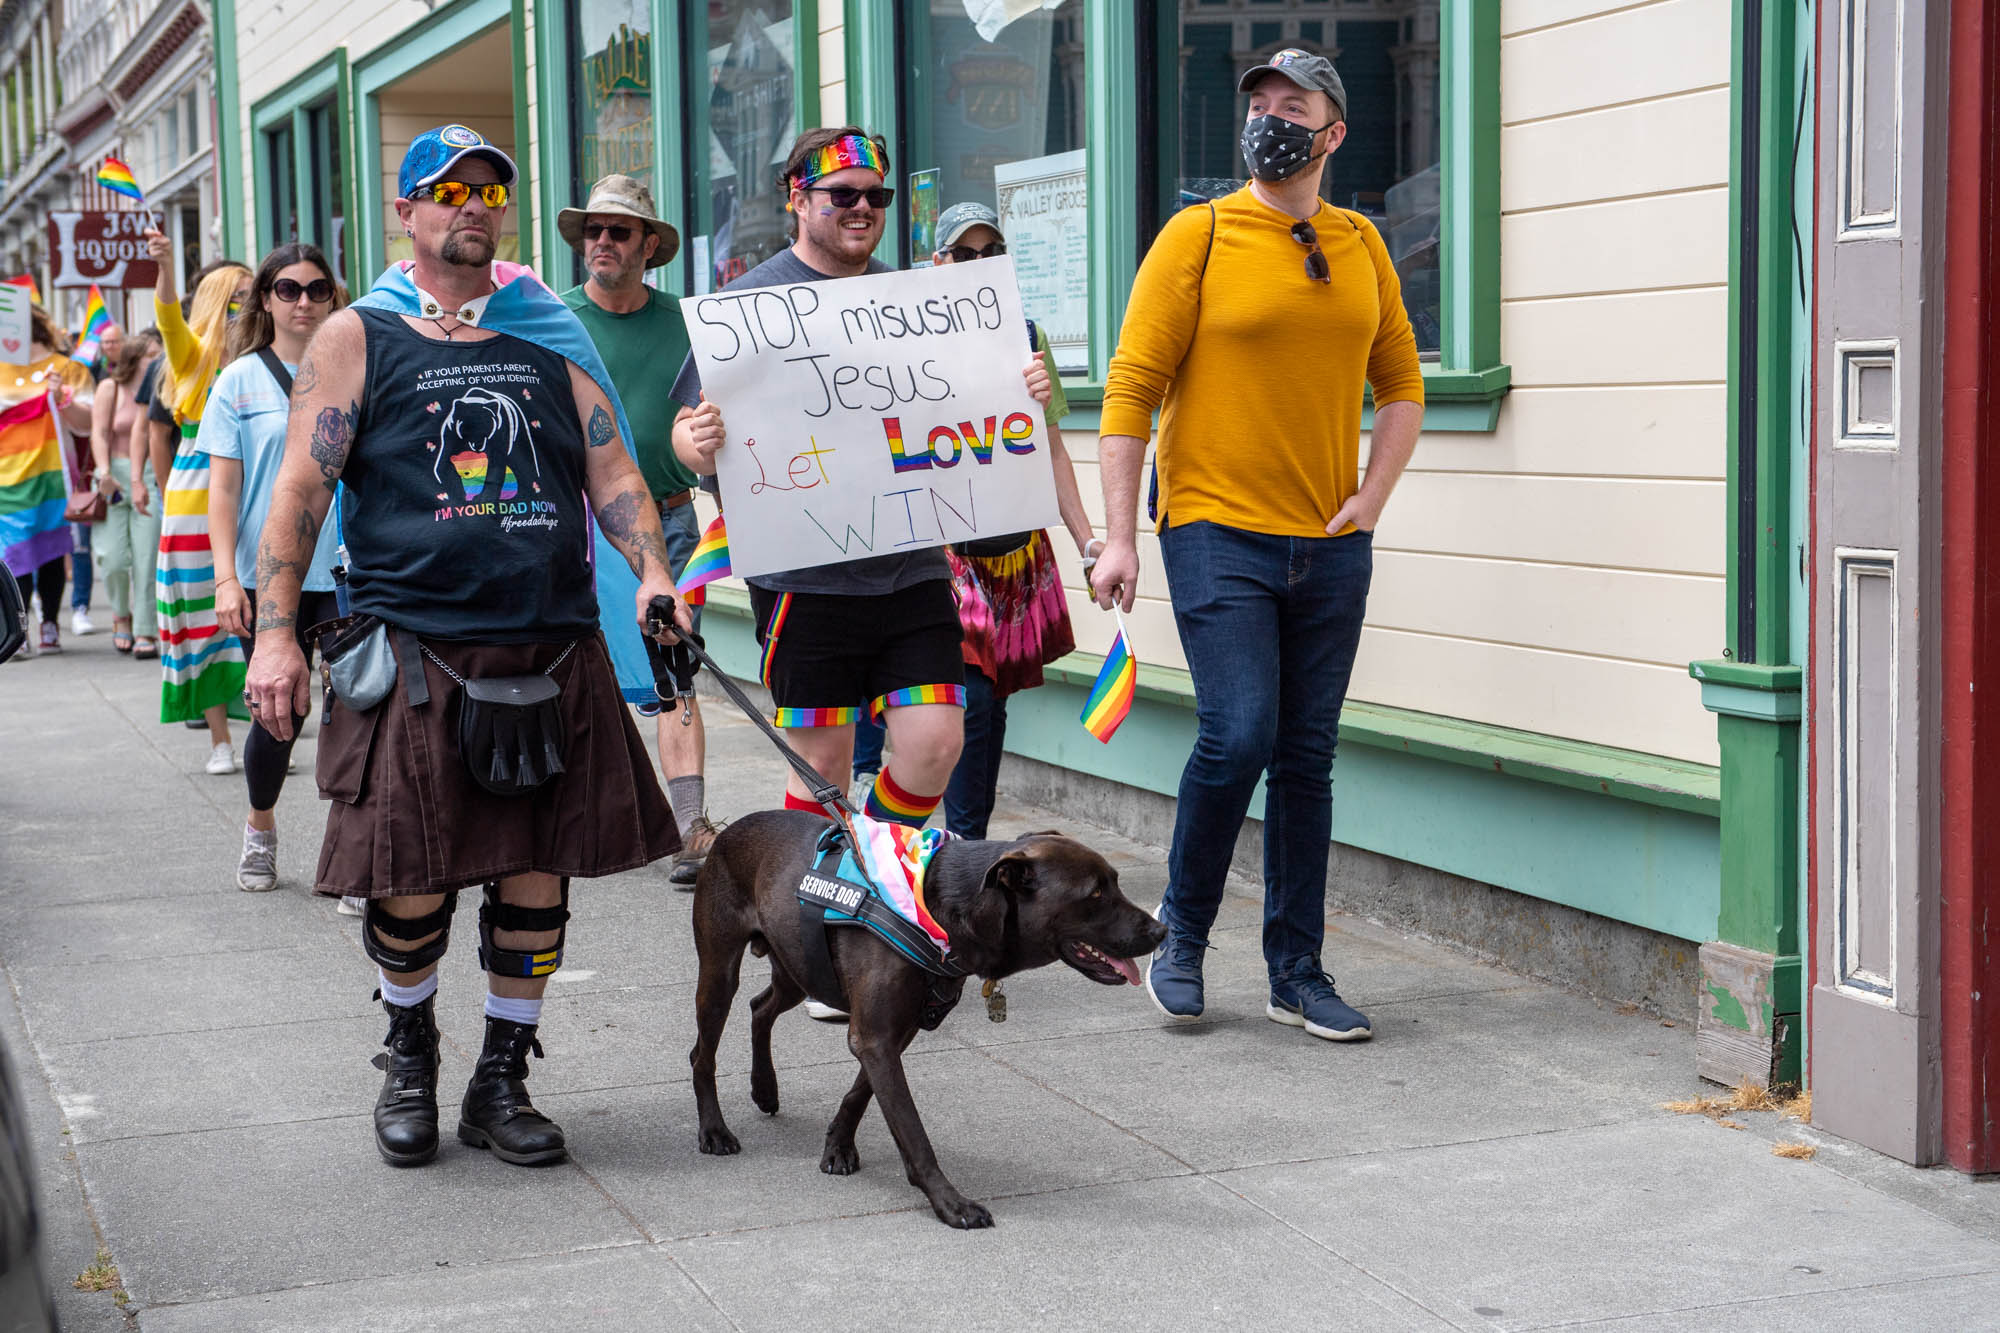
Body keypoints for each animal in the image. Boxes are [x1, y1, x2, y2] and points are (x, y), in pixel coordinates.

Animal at [688, 800, 1168, 1224]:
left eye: (1116, 882)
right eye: (1095, 894)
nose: (1162, 930)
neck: (942, 906)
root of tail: (730, 829)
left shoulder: (896, 1031)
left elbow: (860, 1094)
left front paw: (838, 1145)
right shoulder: (877, 1037)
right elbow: (913, 1132)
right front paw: (950, 1203)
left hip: (797, 965)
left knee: (760, 1008)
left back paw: (764, 1088)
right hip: (721, 971)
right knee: (703, 1052)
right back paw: (714, 1131)